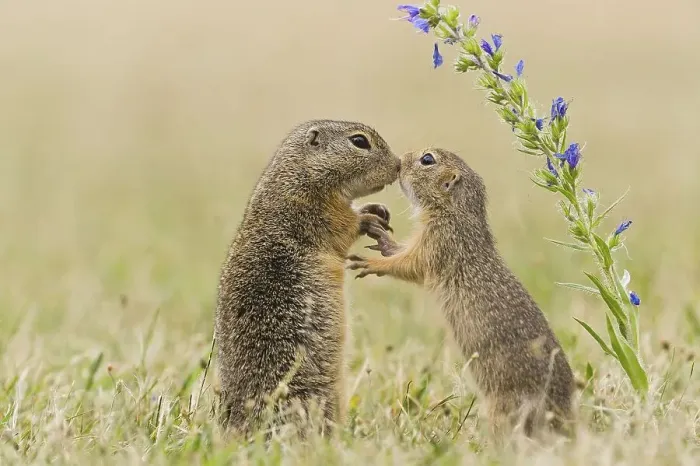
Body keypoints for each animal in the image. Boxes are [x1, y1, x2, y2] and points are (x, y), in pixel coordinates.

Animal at [215, 119, 400, 438]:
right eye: (359, 141)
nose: (399, 165)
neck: (298, 173)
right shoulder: (316, 210)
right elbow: (344, 226)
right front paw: (368, 219)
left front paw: (375, 209)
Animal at [348, 148, 576, 440]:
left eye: (427, 159)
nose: (399, 161)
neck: (456, 211)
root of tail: (566, 418)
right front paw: (381, 237)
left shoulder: (439, 241)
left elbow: (411, 264)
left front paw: (369, 263)